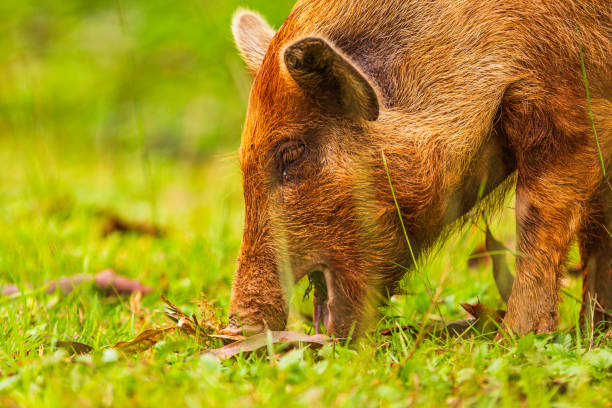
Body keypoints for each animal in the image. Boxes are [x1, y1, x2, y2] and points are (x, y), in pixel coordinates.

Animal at [221, 0, 612, 338]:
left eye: (291, 154)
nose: (234, 328)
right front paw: (591, 333)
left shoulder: (570, 108)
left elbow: (540, 223)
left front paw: (516, 339)